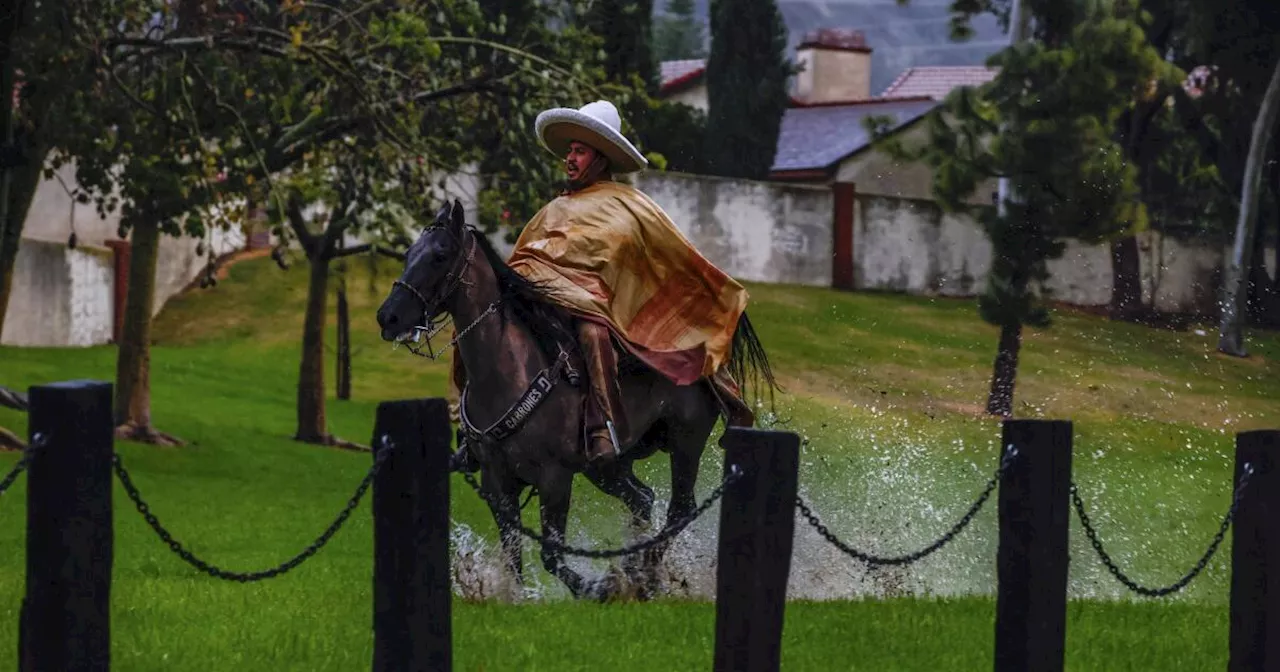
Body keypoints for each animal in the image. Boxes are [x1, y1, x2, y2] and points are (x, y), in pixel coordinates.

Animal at [371, 198, 768, 596]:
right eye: (409, 254)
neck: (507, 373)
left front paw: (597, 588)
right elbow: (513, 556)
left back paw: (645, 576)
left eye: (440, 255)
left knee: (679, 509)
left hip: (686, 441)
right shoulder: (497, 483)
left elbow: (551, 556)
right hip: (606, 466)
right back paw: (634, 572)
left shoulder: (554, 479)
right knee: (642, 500)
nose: (388, 317)